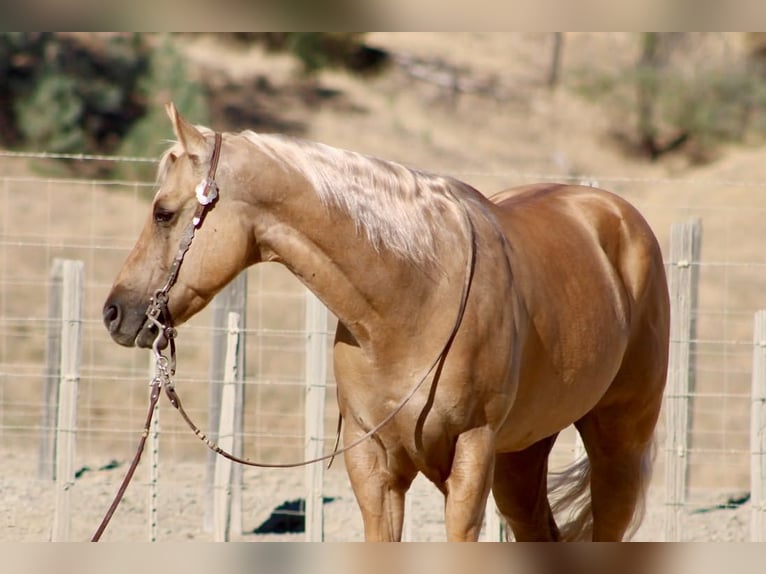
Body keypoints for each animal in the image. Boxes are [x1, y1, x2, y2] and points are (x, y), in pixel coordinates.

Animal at [103, 102, 670, 541]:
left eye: (162, 212)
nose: (114, 312)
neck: (411, 300)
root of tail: (616, 215)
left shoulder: (470, 459)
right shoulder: (374, 469)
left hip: (617, 442)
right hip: (523, 455)